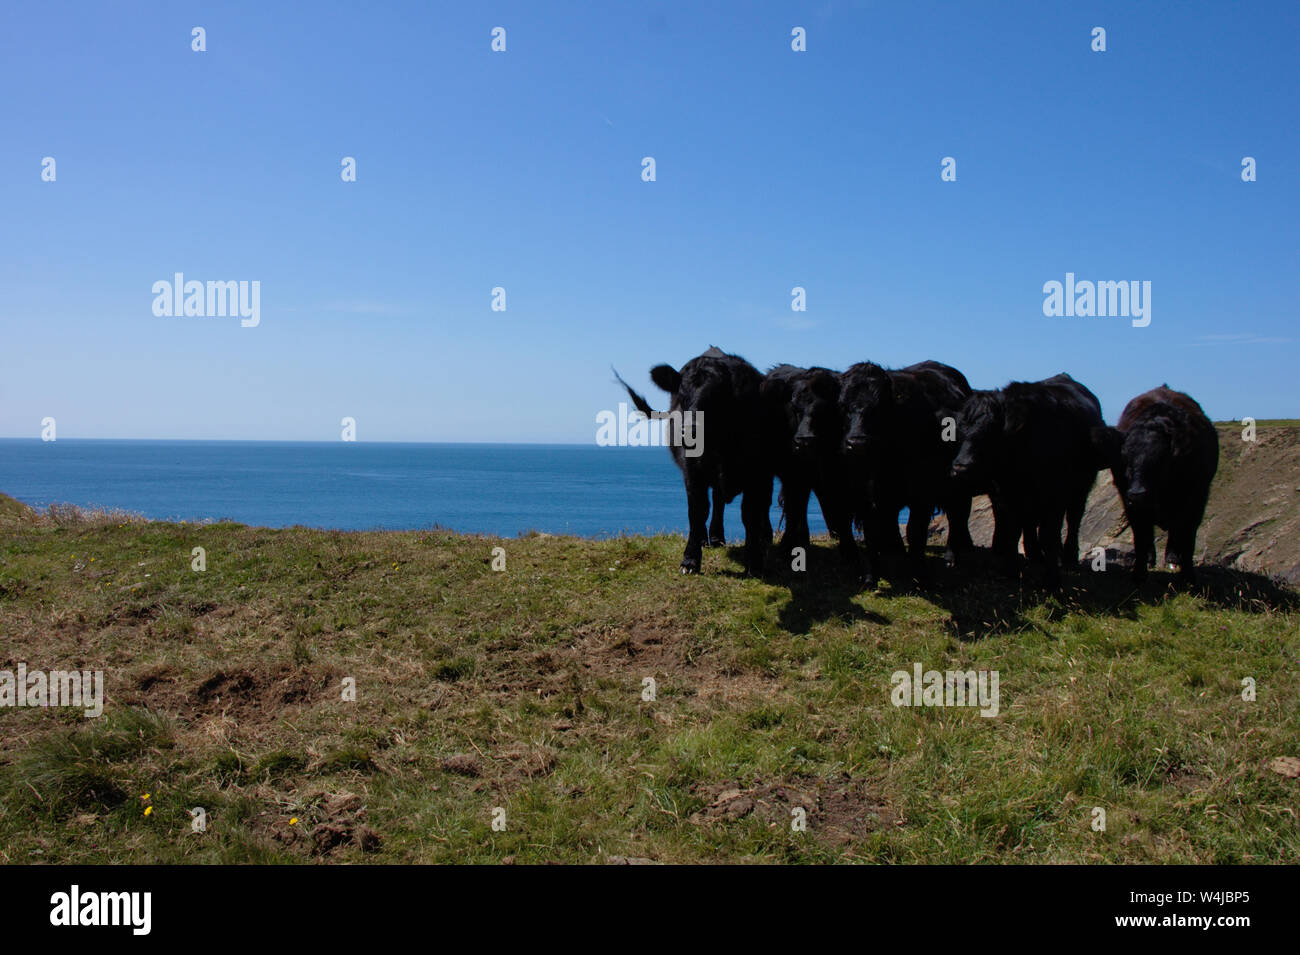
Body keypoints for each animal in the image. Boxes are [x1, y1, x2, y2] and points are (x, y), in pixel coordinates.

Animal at [951, 371, 1102, 582]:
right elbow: (1013, 531)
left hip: (1081, 487)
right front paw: (1010, 570)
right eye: (961, 430)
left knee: (1074, 518)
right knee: (1030, 524)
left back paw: (1068, 557)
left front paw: (1051, 576)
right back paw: (1035, 554)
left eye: (990, 431)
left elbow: (1048, 534)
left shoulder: (1054, 493)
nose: (960, 466)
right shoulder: (1006, 495)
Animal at [1097, 387, 1216, 582]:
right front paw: (1139, 574)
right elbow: (1140, 537)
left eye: (1160, 460)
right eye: (1125, 459)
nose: (1137, 493)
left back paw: (1172, 559)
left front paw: (1188, 577)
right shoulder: (1131, 505)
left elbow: (1188, 539)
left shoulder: (1196, 499)